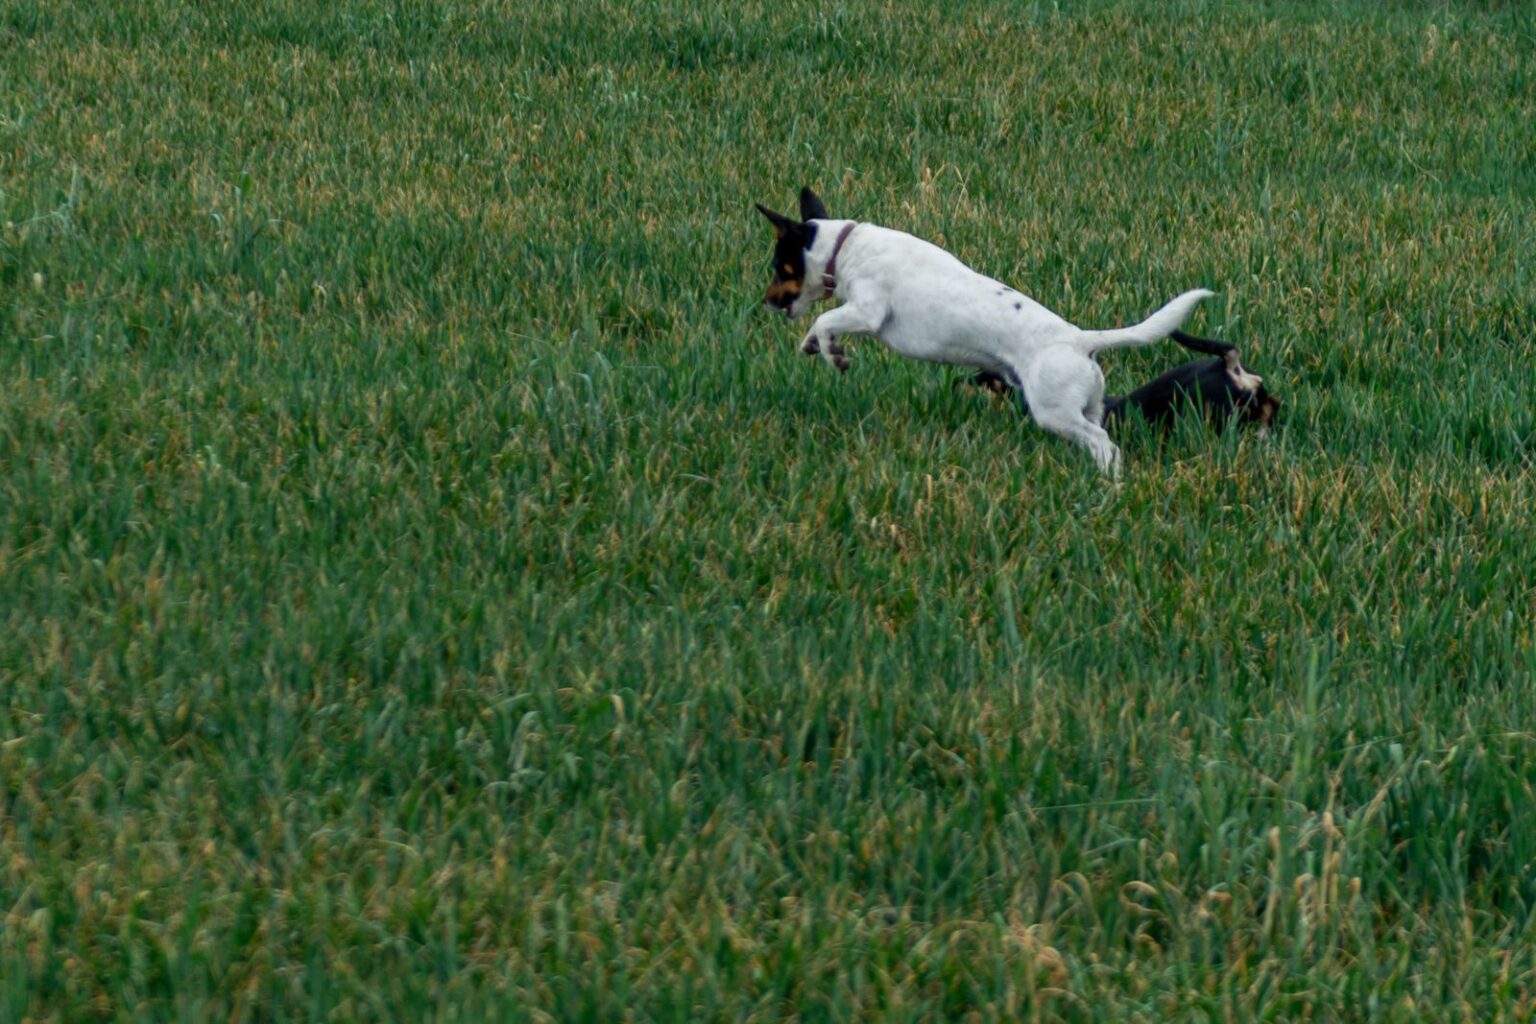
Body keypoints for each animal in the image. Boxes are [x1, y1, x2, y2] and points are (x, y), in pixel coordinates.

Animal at [755, 188, 1210, 475]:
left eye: (779, 267)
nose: (765, 303)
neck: (845, 247)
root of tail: (1080, 339)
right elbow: (819, 325)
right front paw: (814, 346)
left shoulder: (868, 312)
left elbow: (824, 320)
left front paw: (831, 353)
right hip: (1088, 405)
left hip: (1054, 411)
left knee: (1104, 445)